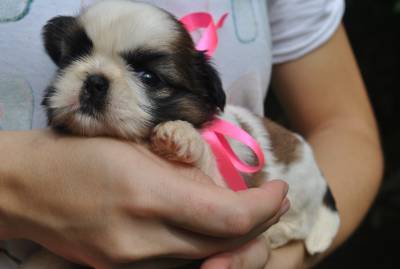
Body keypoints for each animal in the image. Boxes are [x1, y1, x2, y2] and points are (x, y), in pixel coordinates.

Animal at [21, 1, 340, 266]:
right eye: (72, 58)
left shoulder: (226, 186)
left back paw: (279, 231)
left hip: (300, 192)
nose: (95, 81)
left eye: (149, 77)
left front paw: (181, 135)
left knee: (302, 223)